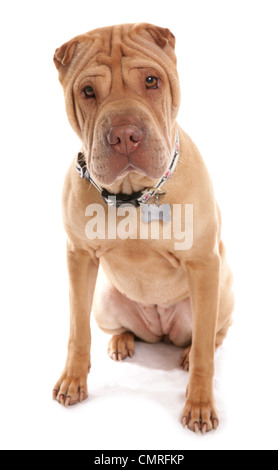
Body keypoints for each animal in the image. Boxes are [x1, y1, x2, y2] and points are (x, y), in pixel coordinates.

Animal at [52, 22, 235, 434]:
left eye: (151, 81)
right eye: (88, 92)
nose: (124, 135)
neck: (133, 198)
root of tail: (161, 328)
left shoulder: (204, 265)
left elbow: (205, 348)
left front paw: (199, 403)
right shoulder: (79, 258)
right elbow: (77, 330)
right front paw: (73, 380)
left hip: (221, 295)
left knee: (211, 336)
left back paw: (187, 354)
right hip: (105, 299)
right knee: (117, 327)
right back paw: (122, 341)